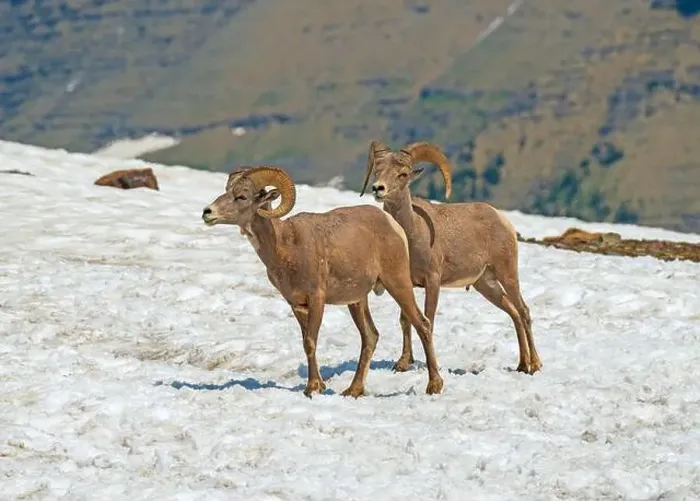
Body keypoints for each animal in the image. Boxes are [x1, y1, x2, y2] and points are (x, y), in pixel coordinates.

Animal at [202, 165, 444, 397]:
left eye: (242, 196)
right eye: (226, 191)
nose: (207, 212)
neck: (285, 247)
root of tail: (393, 226)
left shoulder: (316, 299)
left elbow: (310, 342)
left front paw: (311, 388)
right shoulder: (297, 305)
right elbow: (306, 342)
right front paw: (319, 386)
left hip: (398, 283)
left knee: (422, 324)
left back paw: (434, 386)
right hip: (357, 301)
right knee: (370, 337)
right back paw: (353, 391)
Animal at [359, 141, 542, 375]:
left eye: (403, 174)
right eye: (377, 171)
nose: (378, 189)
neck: (411, 233)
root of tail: (502, 220)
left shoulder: (433, 281)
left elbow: (427, 319)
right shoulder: (405, 282)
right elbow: (405, 320)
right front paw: (402, 363)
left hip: (507, 274)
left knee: (523, 311)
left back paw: (535, 365)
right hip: (486, 285)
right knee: (514, 313)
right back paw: (522, 365)